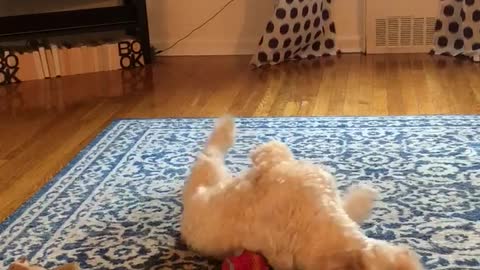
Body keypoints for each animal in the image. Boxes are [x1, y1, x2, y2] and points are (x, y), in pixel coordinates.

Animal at [181, 116, 424, 270]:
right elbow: (274, 152)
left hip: (207, 177)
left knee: (210, 154)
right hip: (208, 177)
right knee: (212, 153)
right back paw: (226, 126)